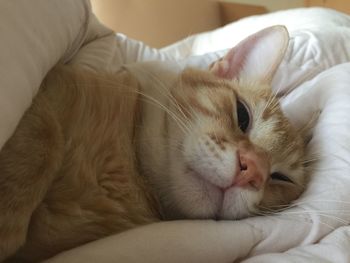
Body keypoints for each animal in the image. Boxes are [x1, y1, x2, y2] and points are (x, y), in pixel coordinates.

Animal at [0, 25, 306, 263]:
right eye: (243, 115)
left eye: (280, 178)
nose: (253, 170)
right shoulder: (50, 87)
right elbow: (42, 138)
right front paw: (8, 218)